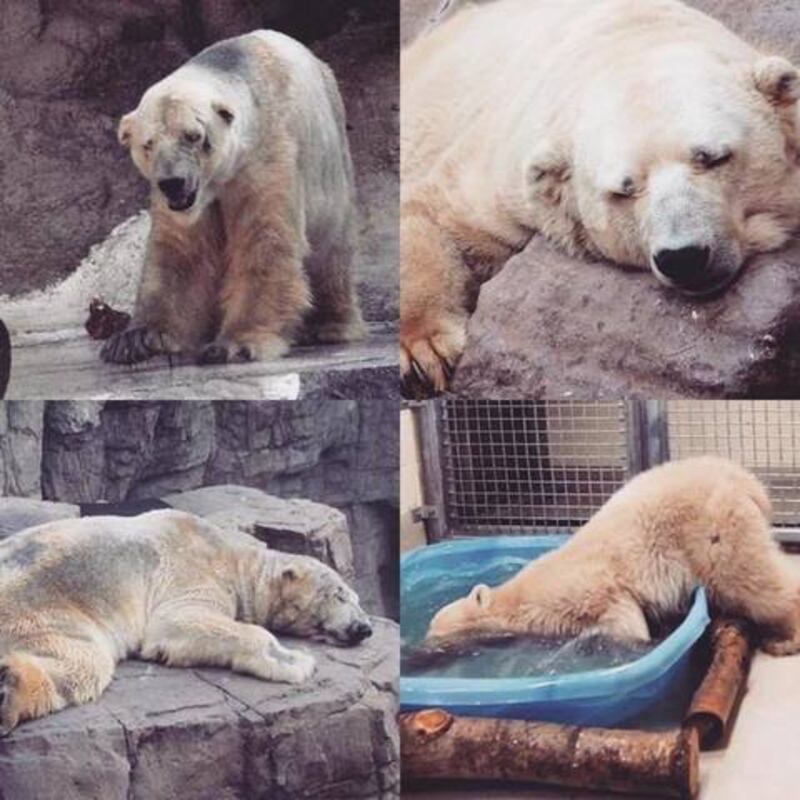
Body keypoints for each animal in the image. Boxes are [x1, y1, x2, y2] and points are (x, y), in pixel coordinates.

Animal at [0, 509, 373, 735]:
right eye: (339, 595)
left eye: (357, 599)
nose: (364, 628)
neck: (236, 559)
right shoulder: (192, 569)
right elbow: (181, 621)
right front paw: (294, 661)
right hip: (42, 610)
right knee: (84, 662)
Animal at [101, 30, 364, 367]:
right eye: (148, 144)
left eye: (193, 136)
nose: (173, 183)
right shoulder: (184, 203)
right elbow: (182, 253)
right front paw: (135, 339)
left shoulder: (264, 160)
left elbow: (263, 240)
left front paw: (233, 344)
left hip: (330, 164)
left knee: (330, 250)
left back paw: (328, 325)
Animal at [401, 0, 800, 393]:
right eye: (624, 190)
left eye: (713, 157)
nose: (683, 257)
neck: (628, 41)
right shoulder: (507, 168)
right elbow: (433, 211)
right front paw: (424, 355)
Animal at [428, 456, 800, 657]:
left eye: (436, 629)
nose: (425, 644)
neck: (517, 598)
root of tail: (745, 479)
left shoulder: (582, 589)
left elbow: (621, 614)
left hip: (711, 528)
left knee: (749, 579)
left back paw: (785, 639)